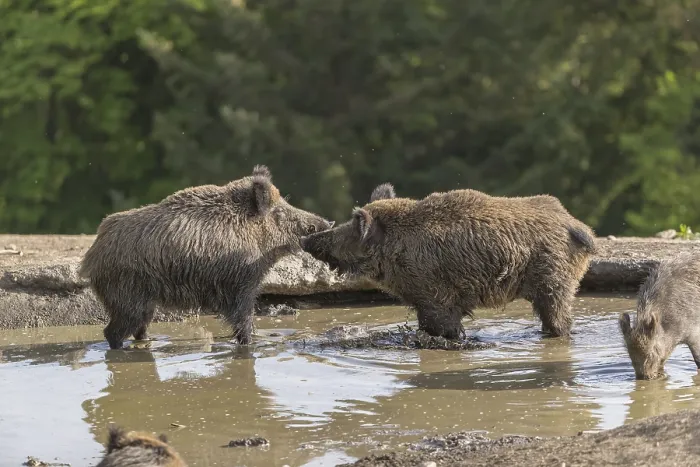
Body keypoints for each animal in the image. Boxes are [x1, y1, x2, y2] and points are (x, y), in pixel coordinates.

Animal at [80, 166, 332, 349]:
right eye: (279, 212)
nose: (328, 222)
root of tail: (90, 258)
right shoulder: (241, 285)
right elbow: (243, 321)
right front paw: (250, 345)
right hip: (127, 297)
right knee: (112, 332)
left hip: (143, 302)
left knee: (139, 328)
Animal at [301, 183, 596, 339]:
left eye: (353, 226)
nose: (307, 239)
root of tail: (579, 227)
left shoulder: (435, 297)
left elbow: (444, 329)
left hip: (554, 281)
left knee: (558, 318)